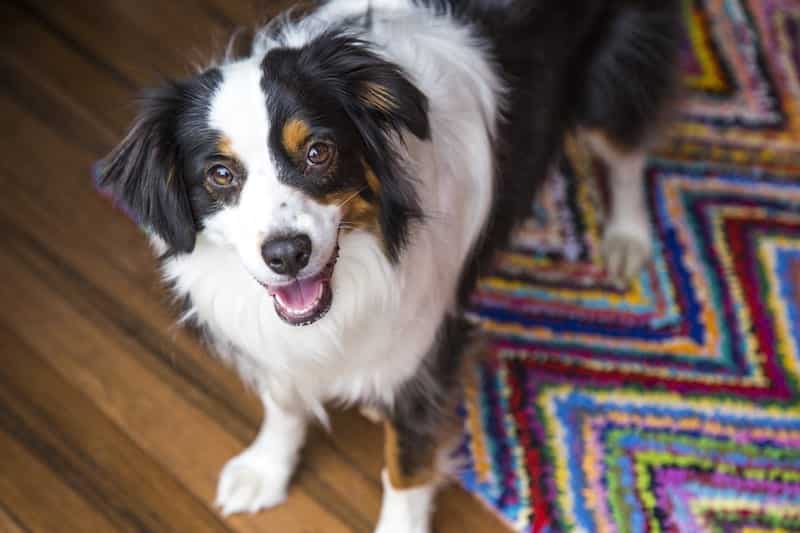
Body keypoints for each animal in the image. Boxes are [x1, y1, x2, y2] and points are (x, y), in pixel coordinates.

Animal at [97, 2, 680, 528]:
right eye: (219, 174)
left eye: (319, 152)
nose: (287, 254)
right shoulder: (279, 343)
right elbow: (283, 399)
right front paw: (266, 469)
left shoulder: (422, 355)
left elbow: (405, 466)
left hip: (610, 76)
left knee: (627, 151)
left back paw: (628, 238)